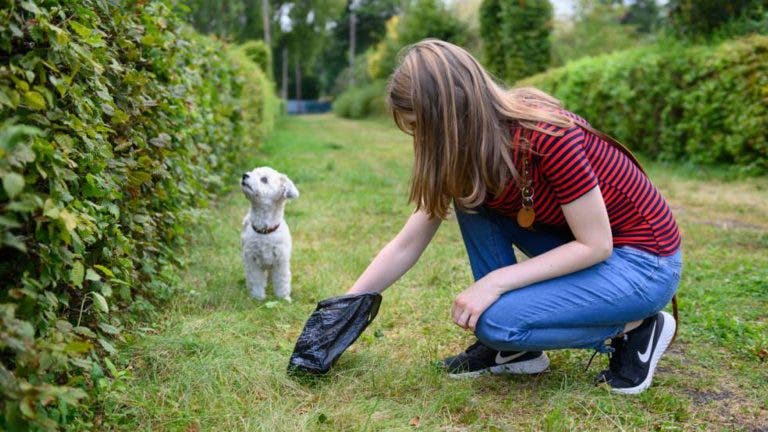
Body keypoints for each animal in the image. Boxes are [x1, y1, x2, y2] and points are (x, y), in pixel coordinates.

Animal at [242, 165, 298, 300]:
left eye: (264, 179)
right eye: (252, 172)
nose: (244, 175)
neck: (265, 230)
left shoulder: (281, 261)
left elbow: (282, 280)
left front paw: (283, 298)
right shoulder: (252, 260)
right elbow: (256, 280)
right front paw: (258, 297)